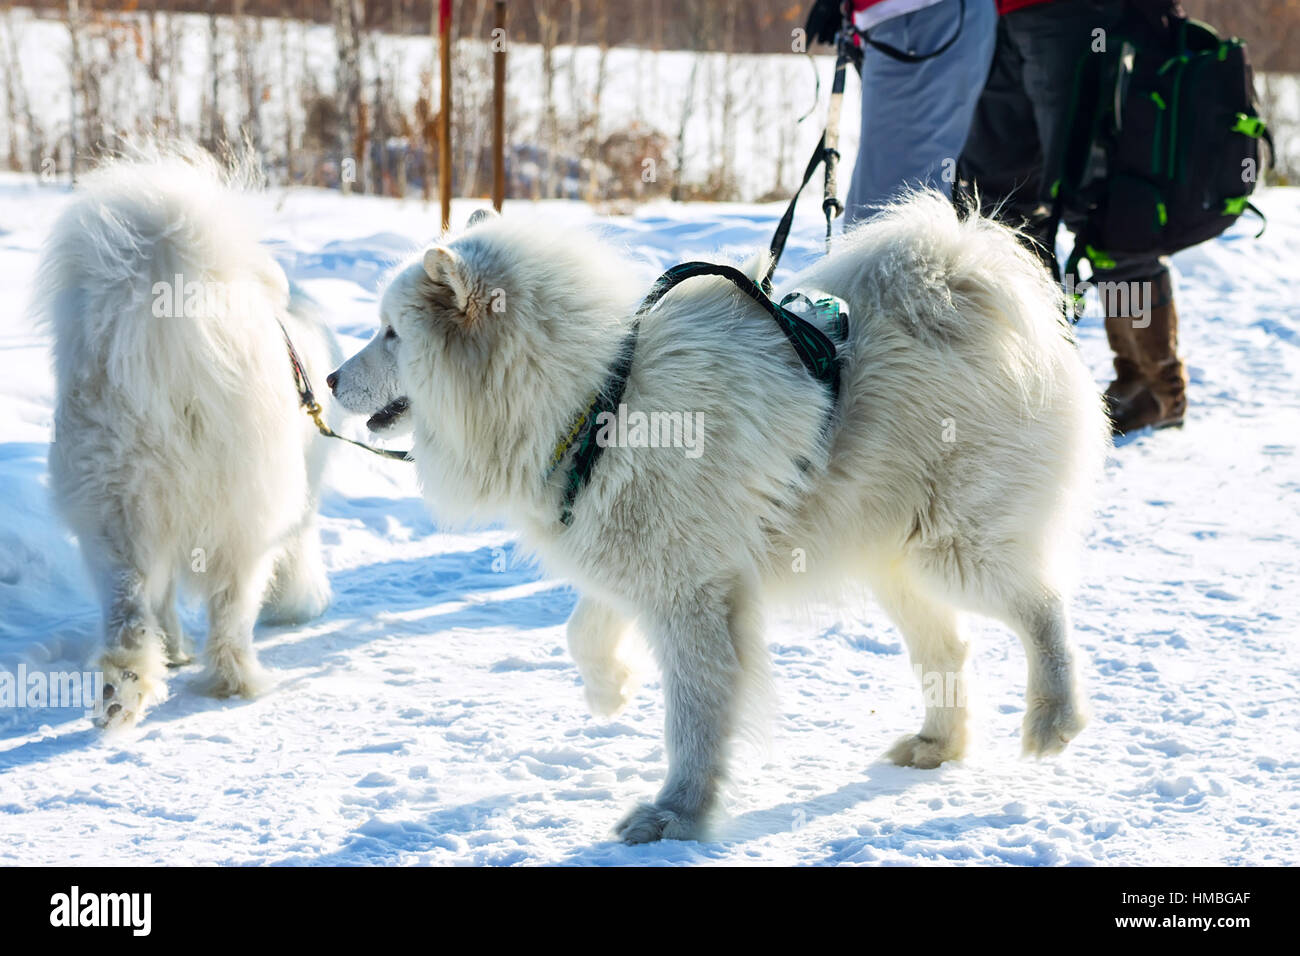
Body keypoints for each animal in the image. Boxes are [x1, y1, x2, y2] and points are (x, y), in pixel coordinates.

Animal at [39, 153, 343, 728]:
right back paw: (235, 681)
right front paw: (299, 604)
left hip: (114, 515)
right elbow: (297, 555)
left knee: (132, 607)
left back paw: (125, 687)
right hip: (242, 521)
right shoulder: (295, 504)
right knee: (229, 613)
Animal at [330, 196, 1112, 842]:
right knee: (949, 649)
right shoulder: (644, 564)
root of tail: (962, 276)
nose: (330, 379)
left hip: (952, 552)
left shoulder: (693, 599)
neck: (601, 400)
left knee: (1044, 607)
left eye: (391, 333)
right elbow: (583, 629)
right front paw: (609, 691)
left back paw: (1054, 719)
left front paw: (675, 816)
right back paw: (936, 746)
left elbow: (695, 720)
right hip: (892, 560)